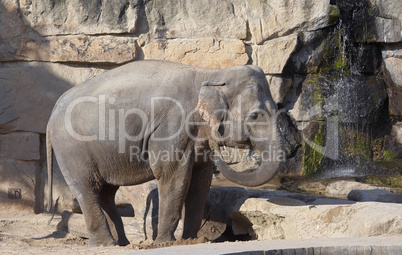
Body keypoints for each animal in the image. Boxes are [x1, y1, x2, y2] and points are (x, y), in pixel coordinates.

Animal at [47, 59, 284, 247]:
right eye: (254, 116)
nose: (218, 144)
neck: (212, 74)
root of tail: (52, 113)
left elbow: (201, 180)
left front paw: (191, 240)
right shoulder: (172, 127)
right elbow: (174, 177)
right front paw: (164, 243)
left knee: (105, 192)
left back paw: (122, 243)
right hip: (73, 149)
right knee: (88, 189)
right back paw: (105, 245)